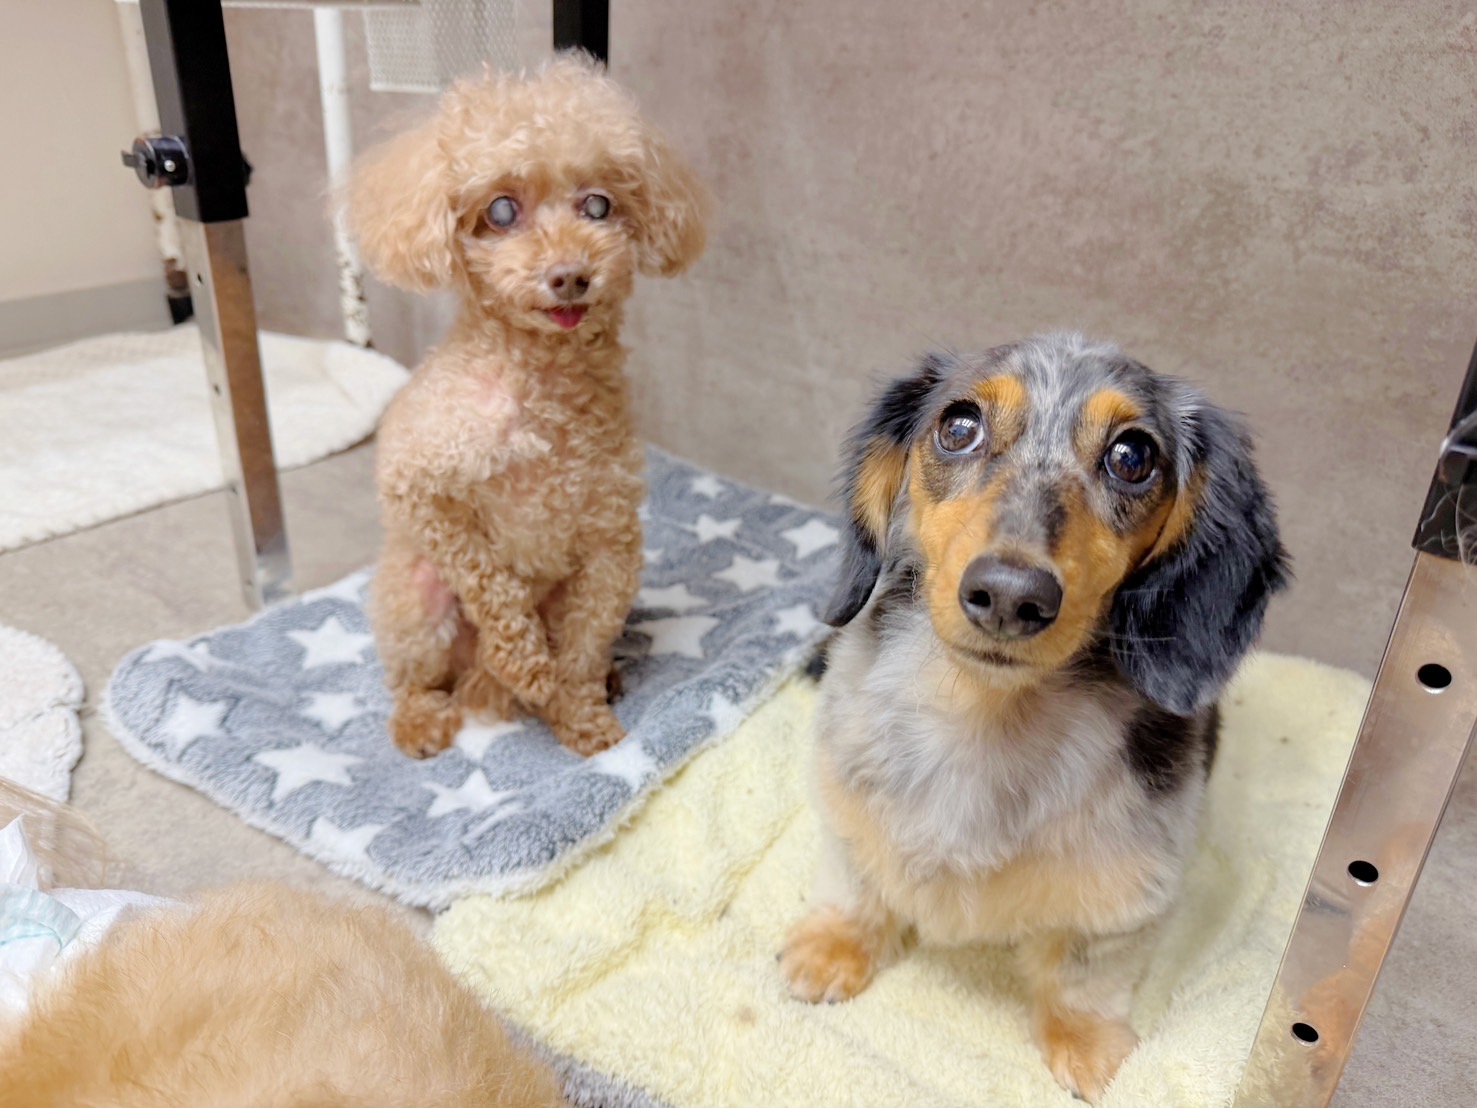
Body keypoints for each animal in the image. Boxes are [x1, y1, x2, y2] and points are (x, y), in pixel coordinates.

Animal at [346, 54, 708, 758]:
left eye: (597, 204)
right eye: (501, 210)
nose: (570, 275)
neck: (544, 391)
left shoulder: (608, 546)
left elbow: (583, 651)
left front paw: (587, 726)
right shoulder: (417, 482)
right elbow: (490, 581)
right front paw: (528, 668)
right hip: (415, 601)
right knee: (414, 677)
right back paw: (427, 719)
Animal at [779, 334, 1288, 1102]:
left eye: (1132, 455)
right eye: (959, 426)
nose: (1009, 595)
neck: (984, 718)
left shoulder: (1127, 892)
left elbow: (1081, 972)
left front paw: (1091, 1049)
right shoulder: (850, 807)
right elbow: (858, 883)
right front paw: (831, 948)